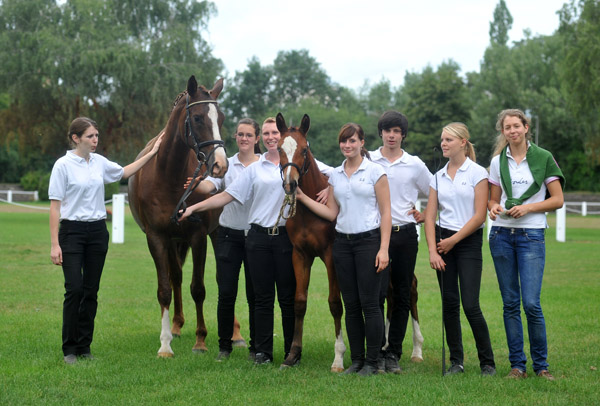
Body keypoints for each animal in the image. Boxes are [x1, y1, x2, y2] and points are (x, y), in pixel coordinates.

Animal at [127, 75, 229, 356]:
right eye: (197, 118)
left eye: (221, 118)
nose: (220, 165)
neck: (168, 176)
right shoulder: (157, 237)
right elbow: (165, 288)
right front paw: (165, 344)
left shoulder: (199, 236)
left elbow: (199, 288)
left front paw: (201, 340)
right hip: (173, 241)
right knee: (176, 277)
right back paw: (176, 326)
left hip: (217, 233)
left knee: (223, 279)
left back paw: (235, 333)